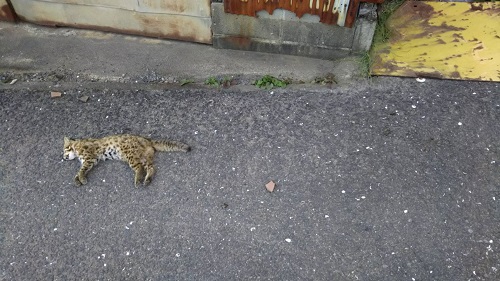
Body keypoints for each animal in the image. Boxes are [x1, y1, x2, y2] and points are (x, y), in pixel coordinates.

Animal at [61, 133, 189, 186]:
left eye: (65, 149)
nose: (64, 157)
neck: (76, 145)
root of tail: (147, 139)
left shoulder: (90, 158)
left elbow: (81, 170)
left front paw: (81, 179)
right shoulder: (91, 160)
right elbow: (78, 172)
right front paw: (77, 180)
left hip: (130, 155)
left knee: (140, 168)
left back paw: (138, 180)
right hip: (143, 157)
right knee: (151, 168)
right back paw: (147, 180)